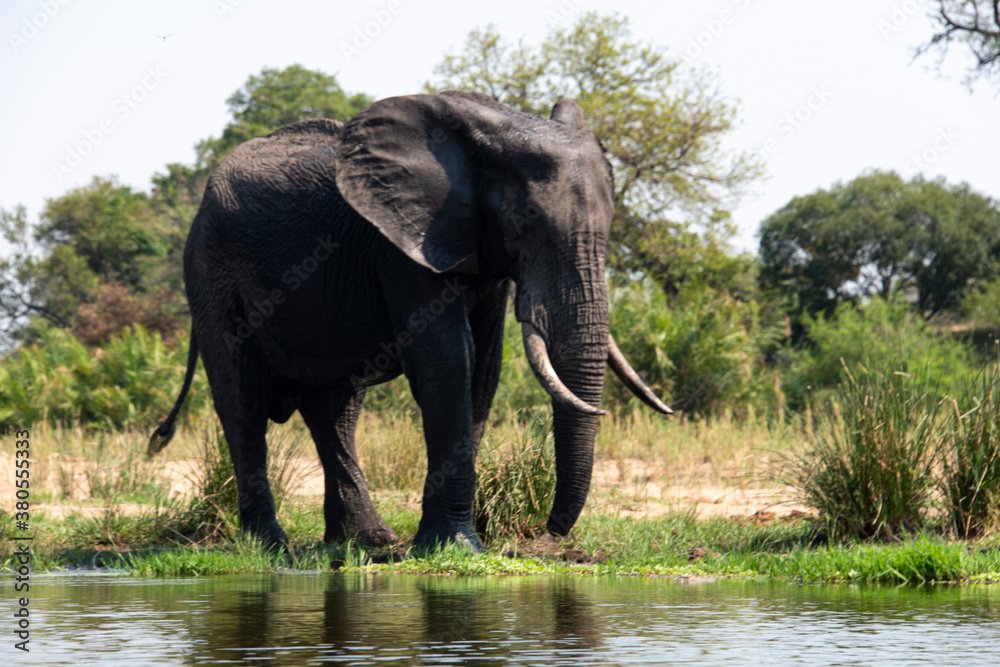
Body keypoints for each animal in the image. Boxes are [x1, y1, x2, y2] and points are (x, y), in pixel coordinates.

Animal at [149, 90, 672, 550]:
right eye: (525, 222)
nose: (547, 536)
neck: (490, 128)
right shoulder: (403, 244)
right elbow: (449, 361)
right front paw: (457, 546)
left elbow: (483, 368)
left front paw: (447, 542)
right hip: (211, 274)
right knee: (244, 401)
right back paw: (271, 546)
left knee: (335, 410)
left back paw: (364, 541)